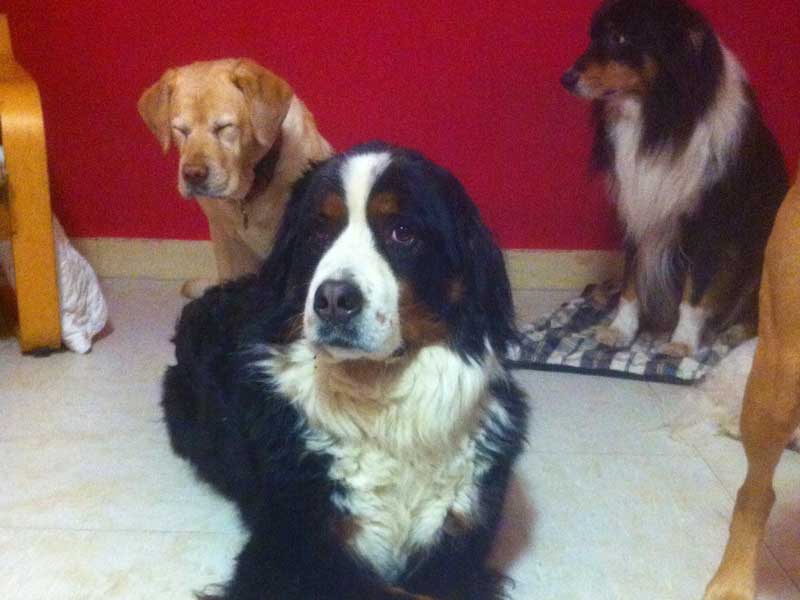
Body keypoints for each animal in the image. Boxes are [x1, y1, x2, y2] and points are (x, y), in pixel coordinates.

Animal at [162, 142, 529, 599]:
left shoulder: (457, 548)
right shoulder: (285, 556)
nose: (334, 299)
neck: (382, 402)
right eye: (319, 232)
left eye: (402, 232)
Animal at [561, 0, 788, 356]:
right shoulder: (637, 208)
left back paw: (734, 334)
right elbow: (631, 281)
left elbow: (695, 291)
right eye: (593, 36)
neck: (658, 119)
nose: (566, 79)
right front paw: (620, 330)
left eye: (620, 38)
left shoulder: (708, 224)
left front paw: (681, 342)